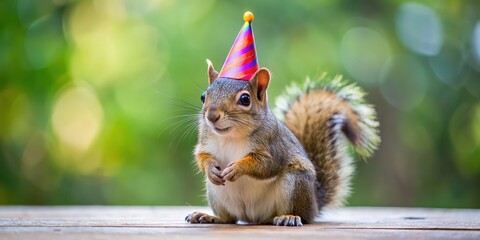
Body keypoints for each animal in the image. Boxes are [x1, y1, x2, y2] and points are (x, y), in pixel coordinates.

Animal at [186, 61, 380, 226]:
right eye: (203, 96)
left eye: (245, 99)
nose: (211, 116)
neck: (230, 135)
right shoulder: (205, 139)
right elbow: (201, 155)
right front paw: (210, 168)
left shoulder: (274, 146)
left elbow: (266, 165)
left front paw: (237, 168)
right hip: (215, 193)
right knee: (230, 219)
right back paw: (209, 216)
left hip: (295, 183)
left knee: (300, 215)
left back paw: (289, 217)